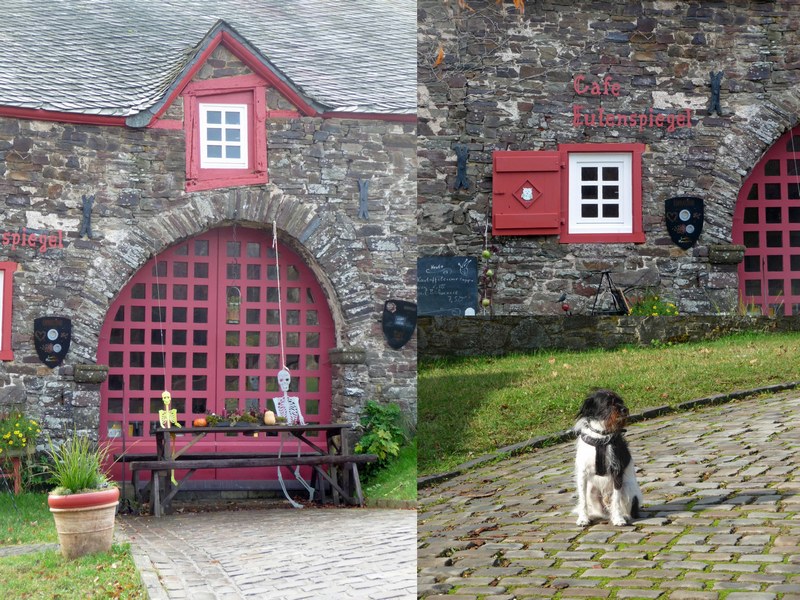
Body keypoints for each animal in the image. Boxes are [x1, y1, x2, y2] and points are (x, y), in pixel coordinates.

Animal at [576, 390, 644, 524]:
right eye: (608, 403)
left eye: (620, 401)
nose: (624, 409)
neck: (601, 436)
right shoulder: (582, 473)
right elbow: (582, 500)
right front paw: (583, 519)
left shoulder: (616, 471)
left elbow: (616, 499)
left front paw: (618, 519)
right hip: (592, 491)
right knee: (600, 512)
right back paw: (593, 516)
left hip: (627, 489)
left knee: (628, 510)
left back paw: (624, 516)